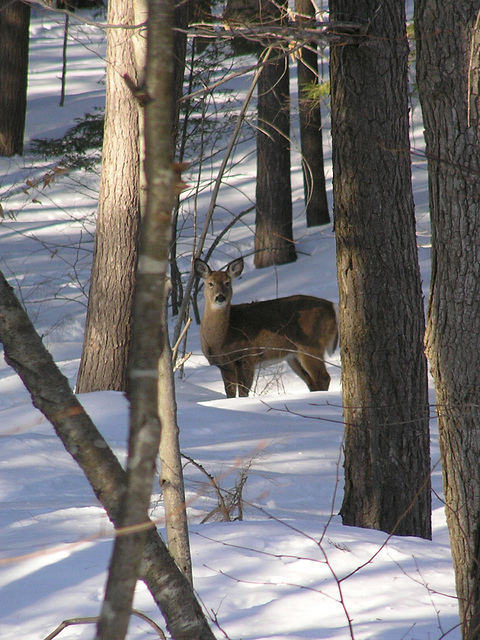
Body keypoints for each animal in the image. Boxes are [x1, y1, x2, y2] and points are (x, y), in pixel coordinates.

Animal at [194, 256, 338, 398]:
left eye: (227, 283)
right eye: (210, 283)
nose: (220, 297)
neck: (222, 338)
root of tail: (332, 308)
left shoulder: (247, 358)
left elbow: (243, 392)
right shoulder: (224, 366)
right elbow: (230, 393)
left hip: (311, 345)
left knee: (323, 377)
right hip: (293, 356)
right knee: (312, 382)